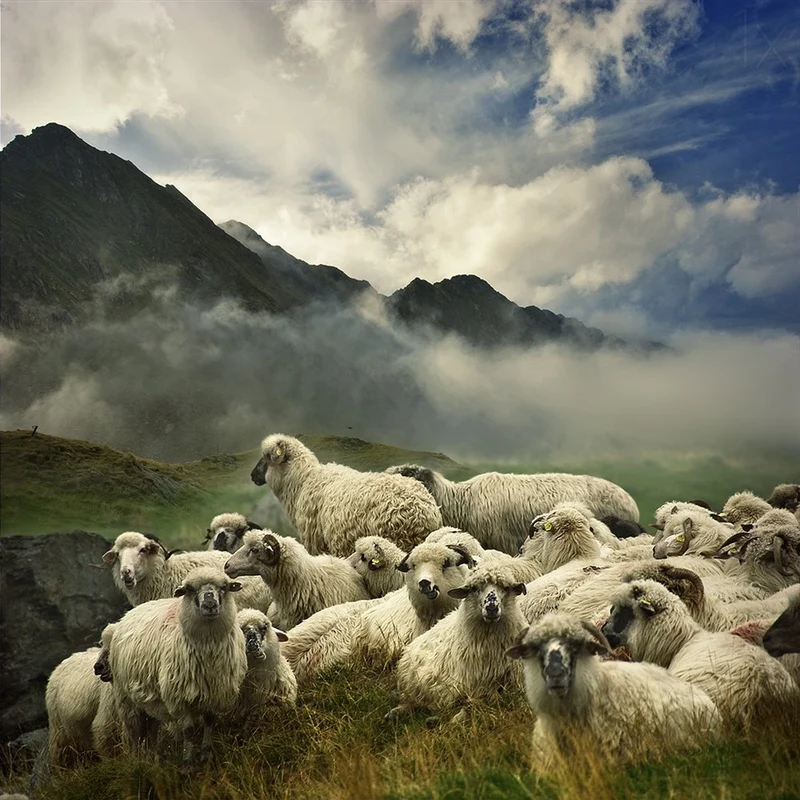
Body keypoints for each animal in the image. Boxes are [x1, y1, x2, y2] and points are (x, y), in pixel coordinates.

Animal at [108, 566, 247, 763]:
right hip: (126, 699)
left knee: (151, 730)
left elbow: (210, 722)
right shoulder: (179, 697)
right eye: (190, 589)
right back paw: (137, 760)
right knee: (134, 732)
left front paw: (206, 756)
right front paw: (188, 762)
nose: (210, 605)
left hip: (150, 702)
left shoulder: (214, 693)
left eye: (224, 587)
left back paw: (153, 759)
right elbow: (188, 731)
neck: (209, 647)